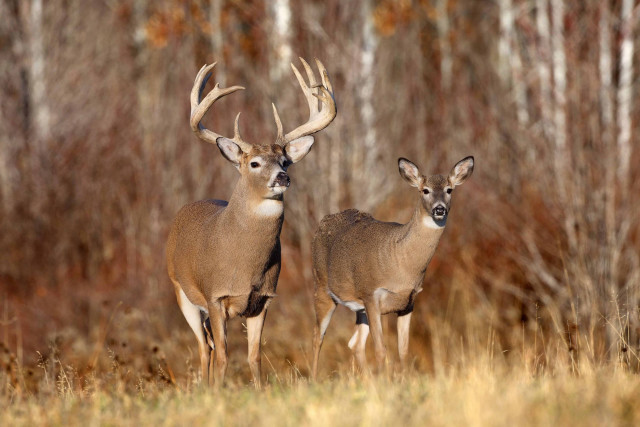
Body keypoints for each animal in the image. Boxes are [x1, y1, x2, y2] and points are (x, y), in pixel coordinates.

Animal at [166, 58, 336, 387]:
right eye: (255, 163)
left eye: (285, 161)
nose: (282, 178)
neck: (245, 265)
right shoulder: (215, 295)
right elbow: (223, 355)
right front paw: (218, 392)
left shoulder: (263, 299)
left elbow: (254, 356)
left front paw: (258, 391)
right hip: (182, 292)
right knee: (204, 348)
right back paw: (204, 388)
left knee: (207, 345)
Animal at [310, 156, 474, 378]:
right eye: (425, 190)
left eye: (449, 190)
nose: (439, 209)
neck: (401, 263)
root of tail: (322, 222)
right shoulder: (371, 294)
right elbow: (381, 349)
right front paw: (386, 380)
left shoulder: (408, 302)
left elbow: (403, 349)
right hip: (322, 287)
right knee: (317, 337)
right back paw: (313, 379)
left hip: (359, 307)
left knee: (355, 343)